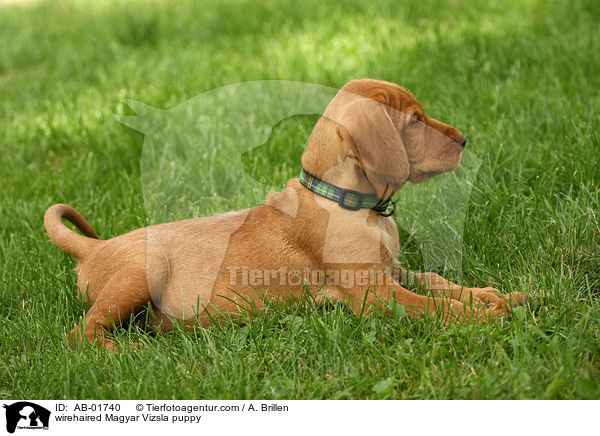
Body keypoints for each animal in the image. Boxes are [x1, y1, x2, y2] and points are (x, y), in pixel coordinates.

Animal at [44, 79, 524, 350]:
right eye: (414, 122)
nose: (464, 140)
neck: (350, 204)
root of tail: (93, 248)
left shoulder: (392, 271)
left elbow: (440, 284)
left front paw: (495, 296)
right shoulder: (373, 293)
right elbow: (434, 306)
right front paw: (487, 316)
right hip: (144, 270)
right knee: (81, 334)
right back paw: (133, 352)